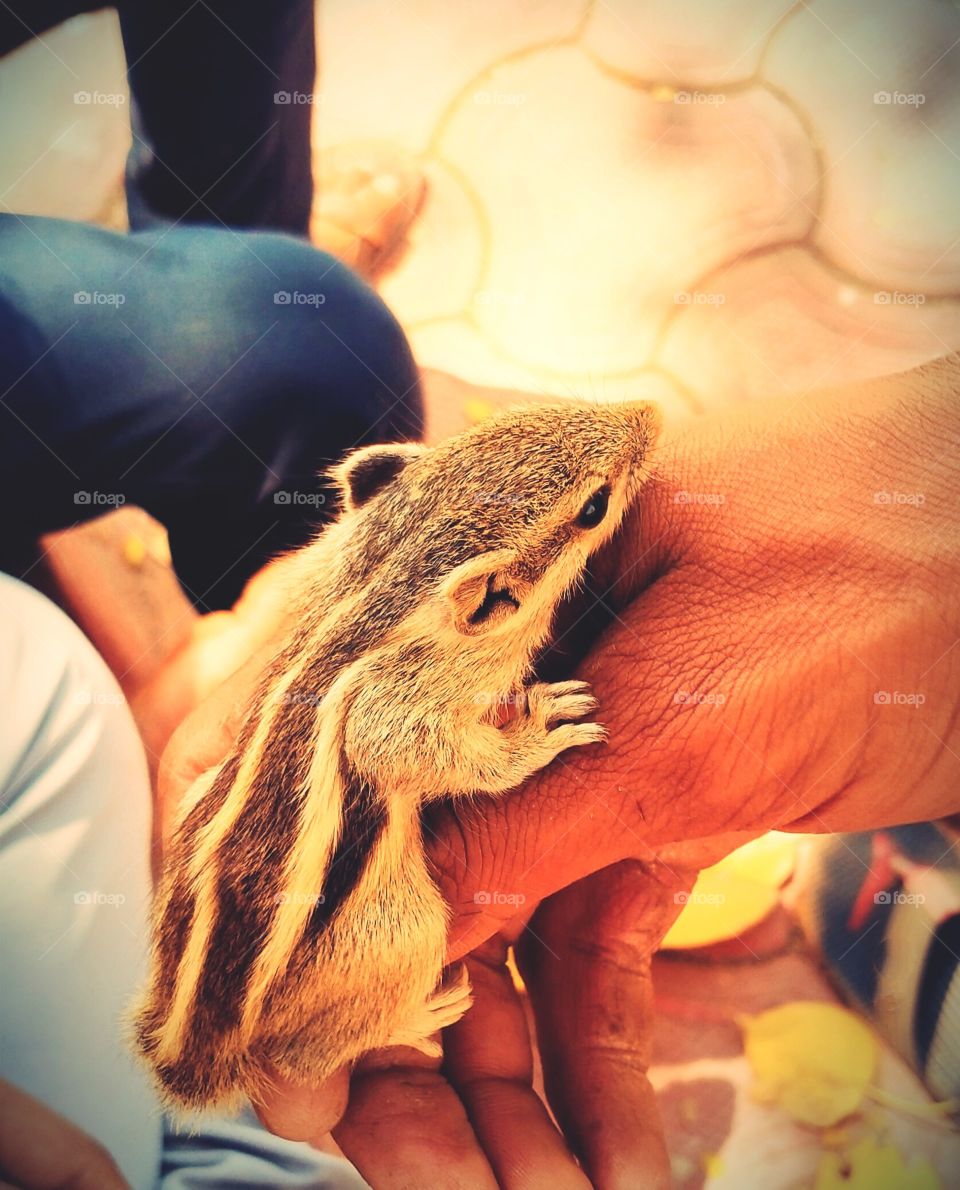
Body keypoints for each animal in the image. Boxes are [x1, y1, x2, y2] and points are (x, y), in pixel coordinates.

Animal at [131, 397, 661, 1114]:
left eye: (525, 413)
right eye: (594, 506)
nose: (652, 412)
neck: (385, 583)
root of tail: (198, 1044)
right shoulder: (397, 700)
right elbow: (420, 746)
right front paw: (537, 730)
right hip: (403, 930)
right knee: (300, 1059)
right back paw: (416, 1018)